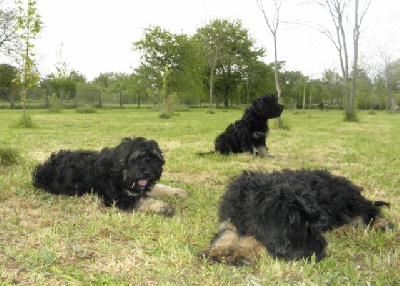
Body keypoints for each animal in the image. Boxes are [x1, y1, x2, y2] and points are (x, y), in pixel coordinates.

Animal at [31, 137, 188, 216]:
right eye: (137, 158)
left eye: (154, 157)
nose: (148, 172)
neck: (119, 172)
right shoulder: (118, 198)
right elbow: (142, 200)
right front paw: (163, 207)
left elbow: (158, 188)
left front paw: (177, 192)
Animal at [200, 169, 390, 264]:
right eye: (304, 226)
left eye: (315, 226)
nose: (321, 252)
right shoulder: (231, 221)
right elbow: (227, 234)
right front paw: (217, 251)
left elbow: (255, 239)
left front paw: (241, 252)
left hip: (351, 202)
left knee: (370, 211)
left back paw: (381, 225)